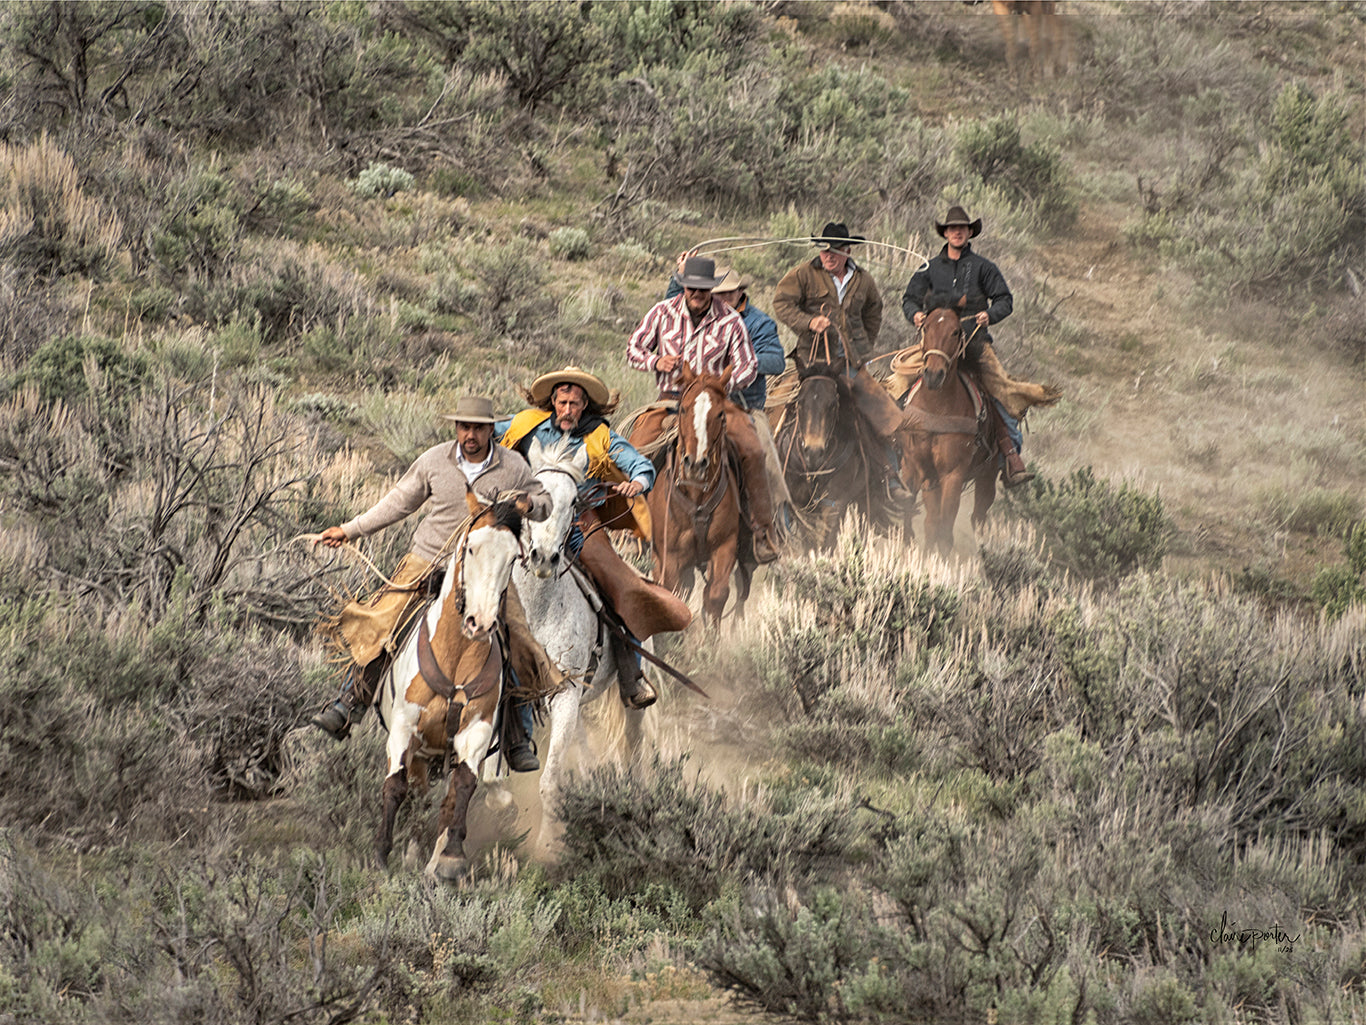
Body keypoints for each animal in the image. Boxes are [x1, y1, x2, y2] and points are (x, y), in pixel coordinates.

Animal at [377, 489, 530, 885]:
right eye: (472, 547)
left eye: (513, 557)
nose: (481, 623)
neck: (456, 655)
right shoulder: (404, 728)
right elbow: (395, 785)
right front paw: (381, 855)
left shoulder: (475, 733)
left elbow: (461, 788)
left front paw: (449, 860)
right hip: (419, 751)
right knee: (416, 791)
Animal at [516, 440, 655, 820]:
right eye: (530, 499)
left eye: (573, 502)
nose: (543, 557)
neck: (538, 612)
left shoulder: (565, 692)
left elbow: (549, 783)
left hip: (628, 699)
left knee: (634, 743)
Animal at [901, 292, 999, 557]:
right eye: (925, 327)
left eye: (955, 331)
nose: (934, 375)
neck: (937, 409)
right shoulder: (917, 468)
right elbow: (920, 514)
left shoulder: (952, 475)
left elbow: (944, 525)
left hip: (987, 477)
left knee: (978, 517)